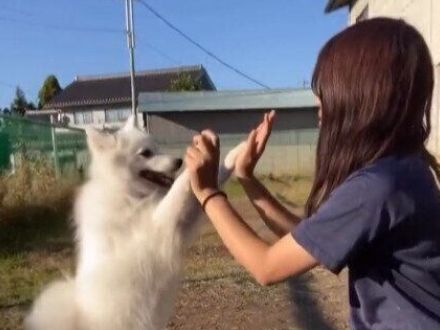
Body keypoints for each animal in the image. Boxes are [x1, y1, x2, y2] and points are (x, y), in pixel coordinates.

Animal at [25, 117, 242, 328]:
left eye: (157, 147)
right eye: (146, 153)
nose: (179, 161)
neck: (127, 192)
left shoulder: (180, 228)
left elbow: (209, 181)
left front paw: (237, 153)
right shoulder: (160, 226)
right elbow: (181, 186)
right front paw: (198, 162)